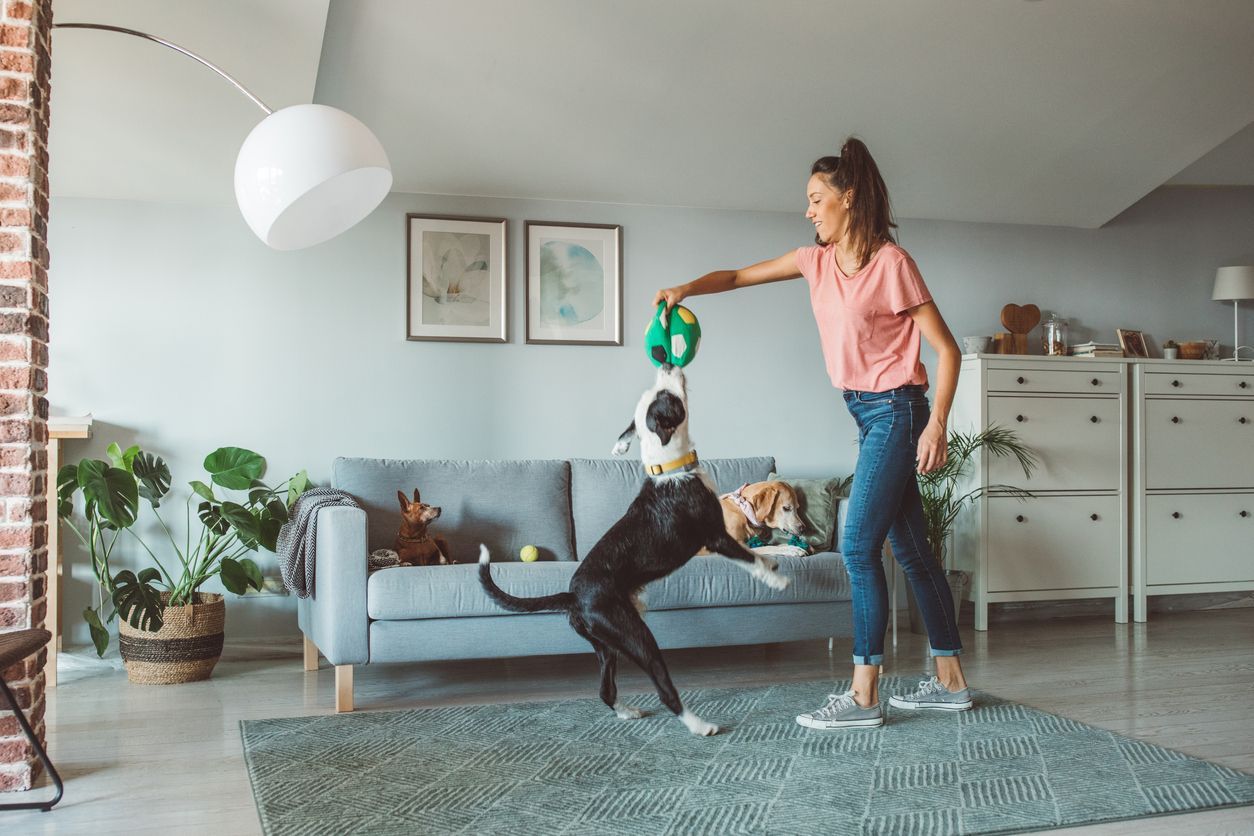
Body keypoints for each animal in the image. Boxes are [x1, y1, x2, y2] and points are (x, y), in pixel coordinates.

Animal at [474, 363, 787, 736]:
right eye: (666, 397)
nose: (666, 364)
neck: (670, 468)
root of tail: (572, 596)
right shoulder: (715, 536)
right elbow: (750, 557)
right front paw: (776, 578)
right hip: (635, 635)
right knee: (665, 690)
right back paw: (699, 725)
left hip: (607, 646)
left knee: (605, 690)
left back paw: (627, 712)